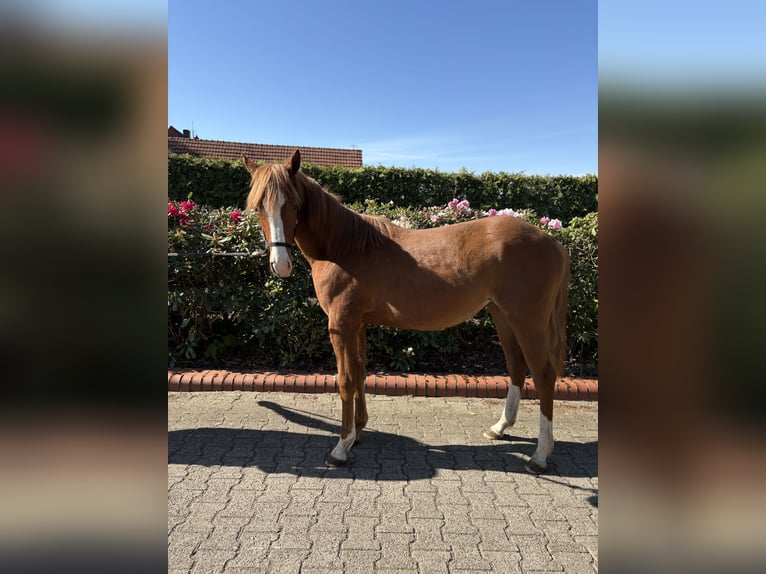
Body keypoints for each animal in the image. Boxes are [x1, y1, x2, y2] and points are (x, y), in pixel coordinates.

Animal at [243, 150, 569, 474]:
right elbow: (360, 372)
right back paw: (500, 427)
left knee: (543, 375)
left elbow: (345, 380)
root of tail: (552, 242)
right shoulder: (358, 324)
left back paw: (540, 455)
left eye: (294, 205)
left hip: (527, 321)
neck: (345, 248)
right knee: (517, 368)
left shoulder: (341, 324)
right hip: (502, 317)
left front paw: (340, 448)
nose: (280, 265)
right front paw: (358, 431)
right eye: (259, 207)